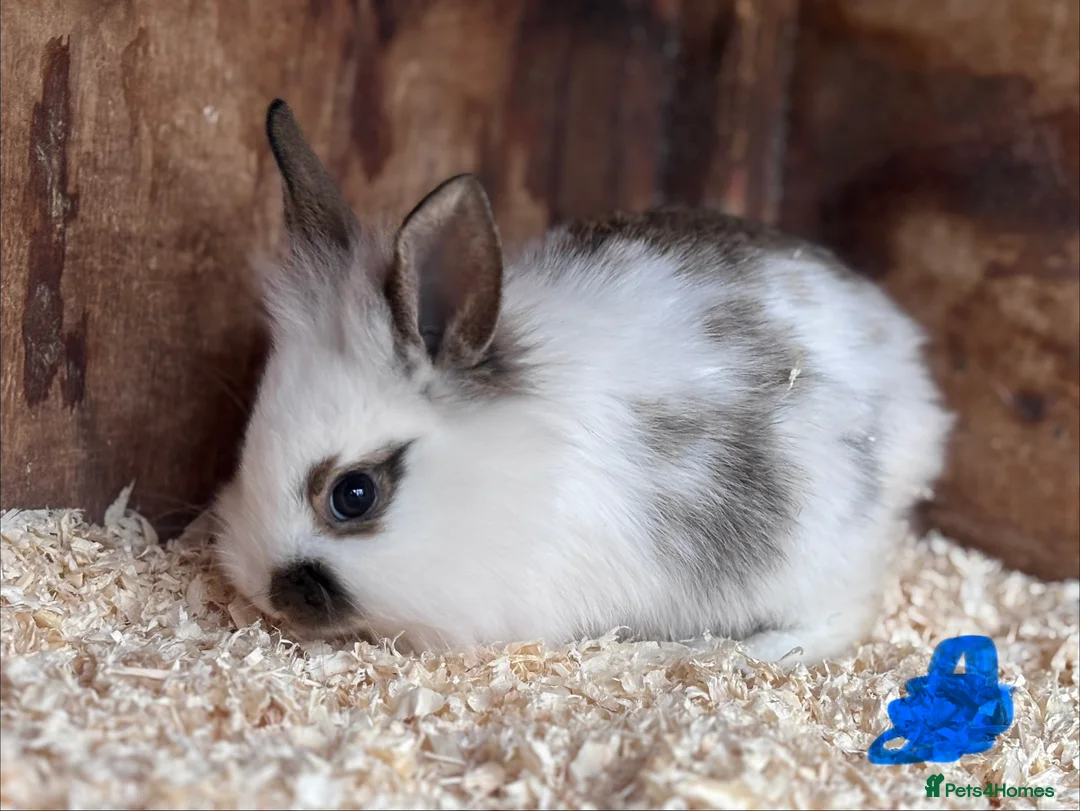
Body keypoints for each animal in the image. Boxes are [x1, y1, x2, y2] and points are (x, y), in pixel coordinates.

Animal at [211, 99, 954, 665]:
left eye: (354, 494)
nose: (260, 587)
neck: (503, 476)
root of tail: (914, 387)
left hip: (816, 555)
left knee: (843, 616)